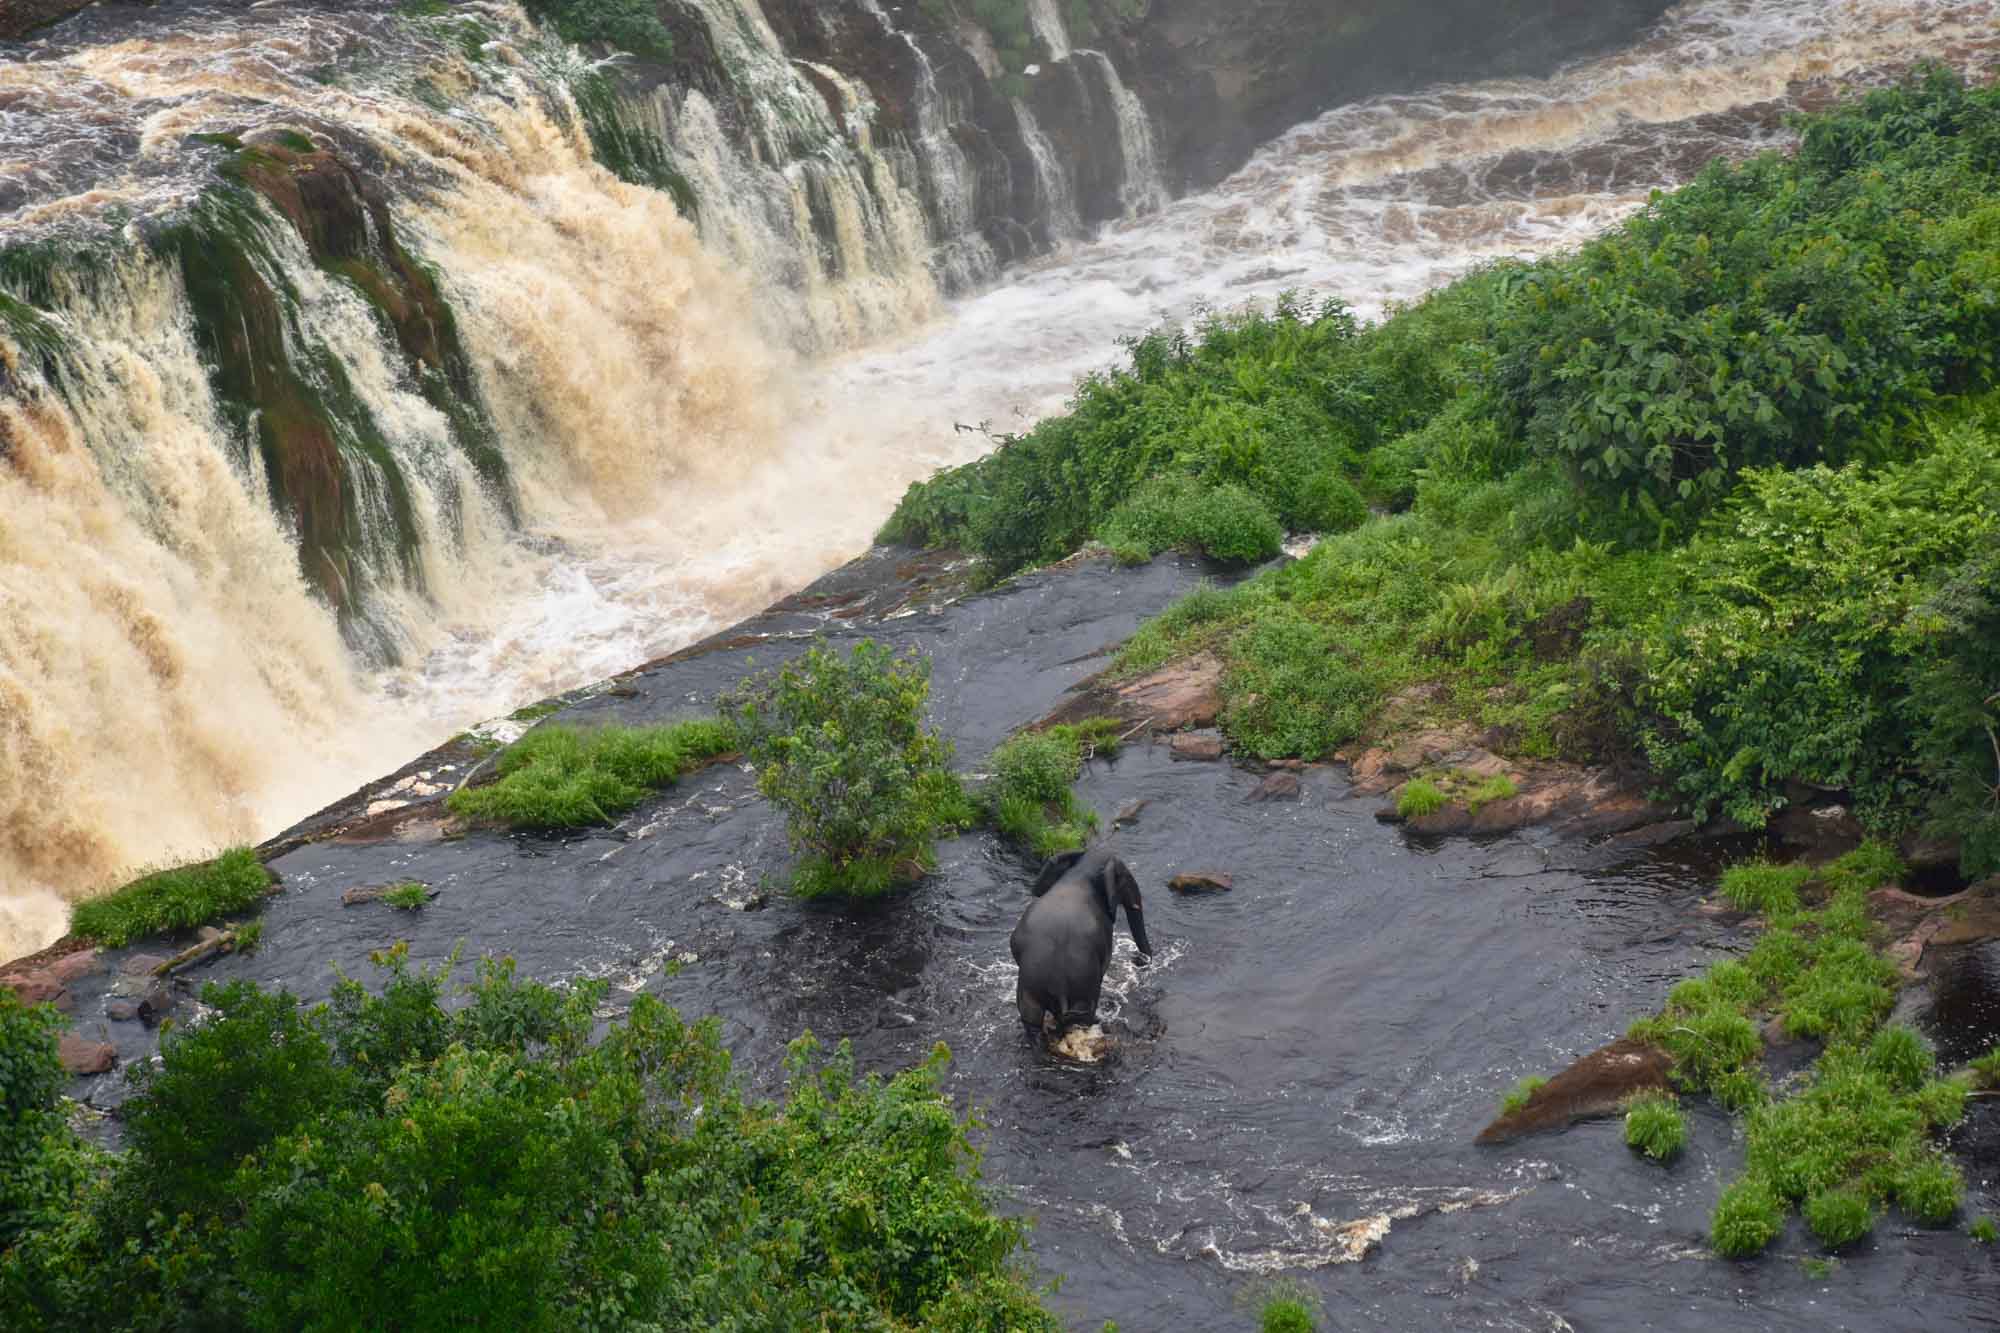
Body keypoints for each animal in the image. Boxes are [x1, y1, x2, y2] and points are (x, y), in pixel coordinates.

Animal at [1016, 844, 1160, 1040]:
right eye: (1126, 877)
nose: (1137, 960)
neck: (1081, 872)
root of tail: (1057, 983)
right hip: (1084, 983)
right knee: (1082, 1014)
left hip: (1030, 985)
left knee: (1032, 1020)